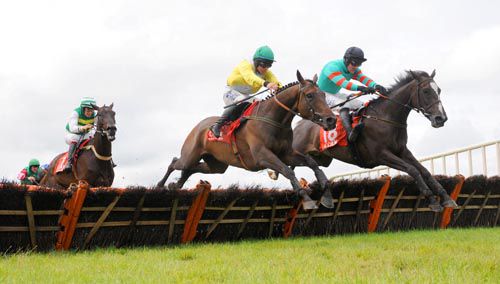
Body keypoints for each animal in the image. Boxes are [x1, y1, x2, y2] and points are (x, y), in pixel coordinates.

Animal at [156, 70, 336, 210]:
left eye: (323, 94)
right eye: (310, 95)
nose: (331, 120)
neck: (273, 120)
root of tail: (198, 127)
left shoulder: (286, 154)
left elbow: (312, 163)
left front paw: (326, 195)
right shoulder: (262, 156)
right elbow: (288, 171)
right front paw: (306, 199)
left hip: (217, 165)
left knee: (191, 169)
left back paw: (175, 185)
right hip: (190, 155)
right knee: (175, 162)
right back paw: (160, 185)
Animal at [270, 70, 458, 212]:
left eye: (439, 90)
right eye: (426, 91)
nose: (441, 118)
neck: (386, 118)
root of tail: (299, 125)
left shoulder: (402, 151)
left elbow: (424, 171)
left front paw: (447, 198)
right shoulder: (382, 155)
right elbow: (413, 170)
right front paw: (433, 202)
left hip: (321, 158)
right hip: (295, 150)